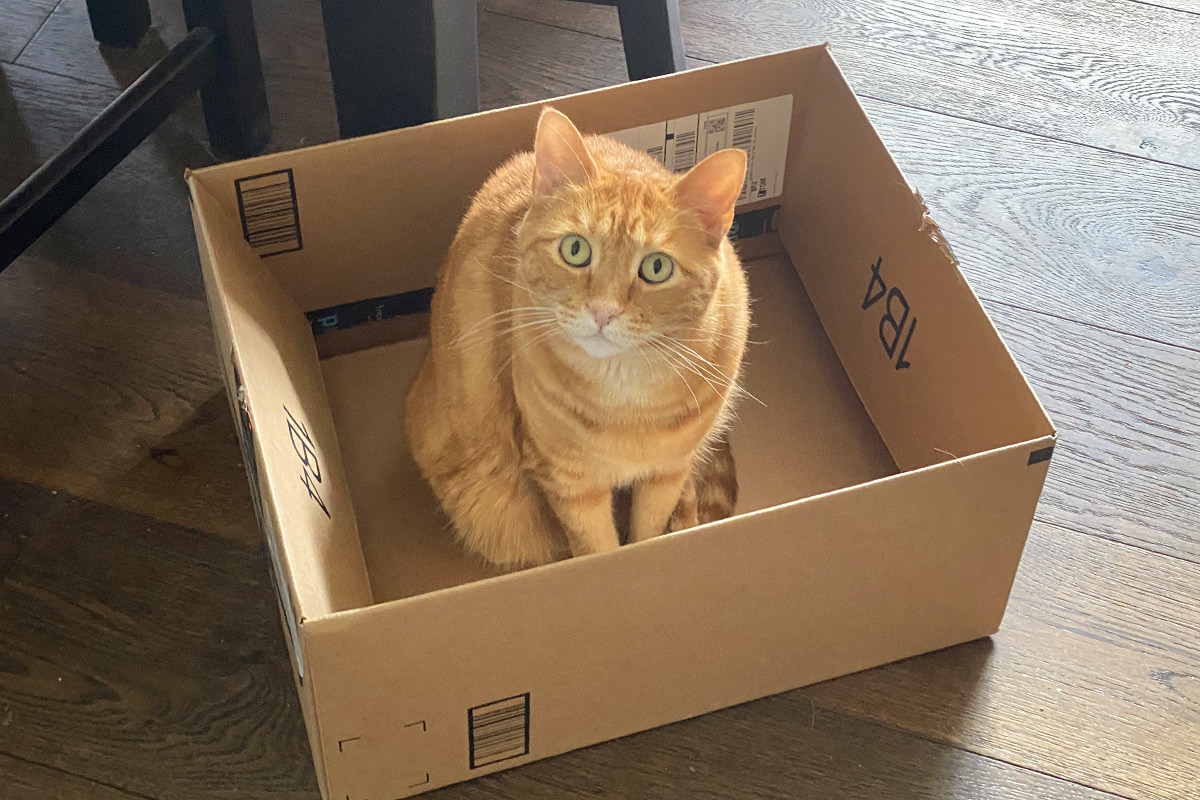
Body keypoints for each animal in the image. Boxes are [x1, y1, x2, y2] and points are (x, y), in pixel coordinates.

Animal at [405, 107, 748, 568]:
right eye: (575, 249)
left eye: (656, 267)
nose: (603, 310)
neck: (627, 400)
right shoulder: (569, 483)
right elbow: (597, 549)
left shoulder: (666, 472)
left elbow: (648, 535)